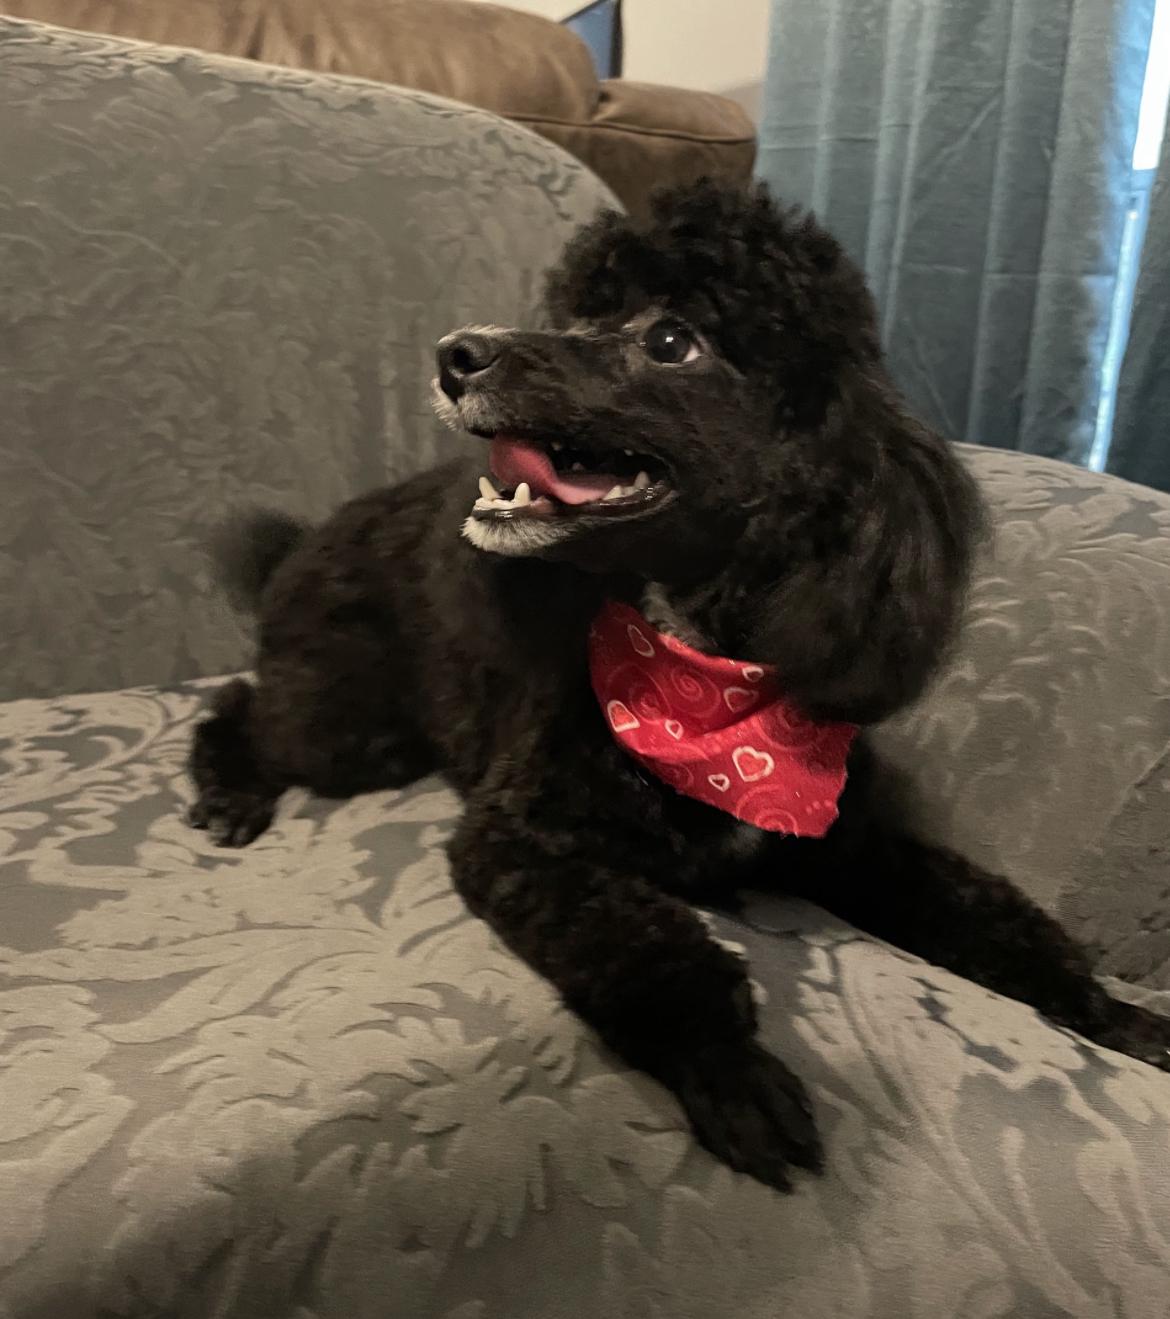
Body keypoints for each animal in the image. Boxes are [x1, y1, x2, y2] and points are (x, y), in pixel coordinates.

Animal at [187, 181, 1170, 1191]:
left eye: (669, 340)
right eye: (580, 315)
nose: (456, 353)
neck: (705, 683)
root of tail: (300, 544)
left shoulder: (845, 846)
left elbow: (991, 913)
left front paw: (1113, 1014)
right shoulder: (522, 838)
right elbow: (648, 948)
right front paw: (730, 1068)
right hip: (350, 723)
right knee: (240, 704)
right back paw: (231, 793)